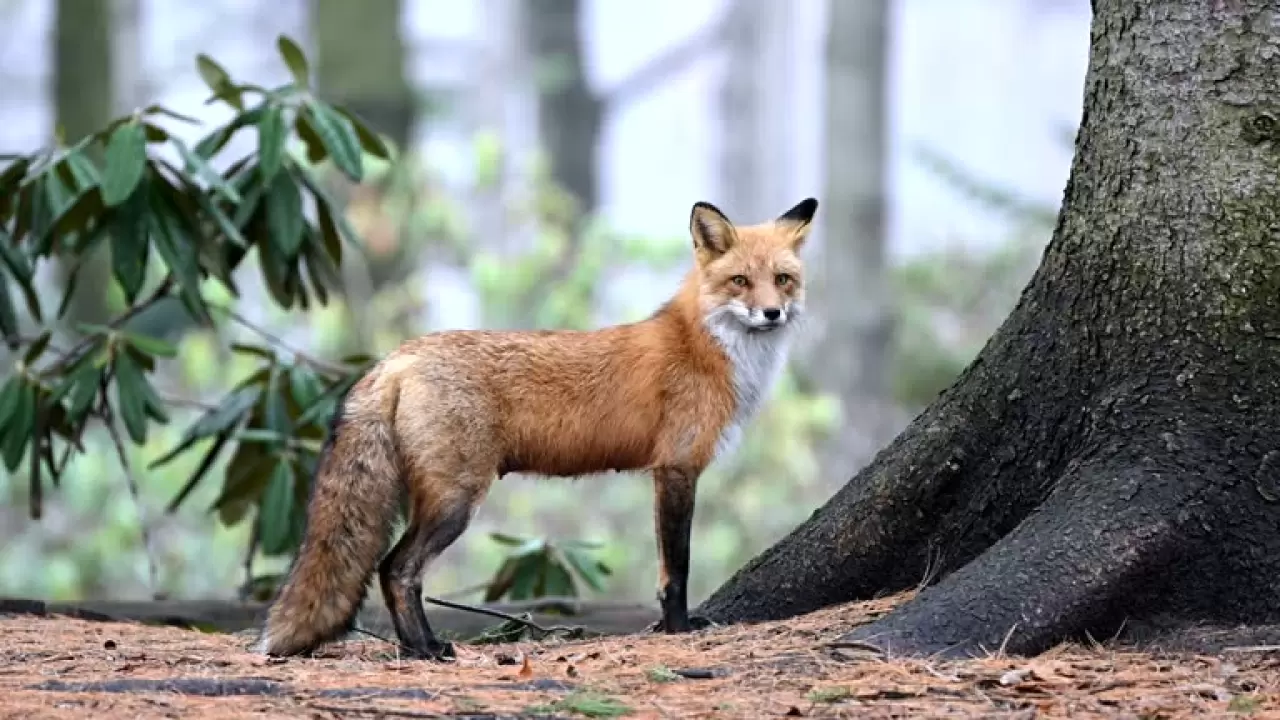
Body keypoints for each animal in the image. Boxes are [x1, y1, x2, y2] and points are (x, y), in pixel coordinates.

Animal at [257, 194, 819, 655]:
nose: (772, 313)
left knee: (390, 570)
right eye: (740, 282)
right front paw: (678, 631)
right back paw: (427, 649)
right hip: (455, 501)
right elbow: (675, 570)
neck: (707, 348)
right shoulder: (677, 468)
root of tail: (398, 357)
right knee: (395, 569)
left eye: (783, 280)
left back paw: (416, 648)